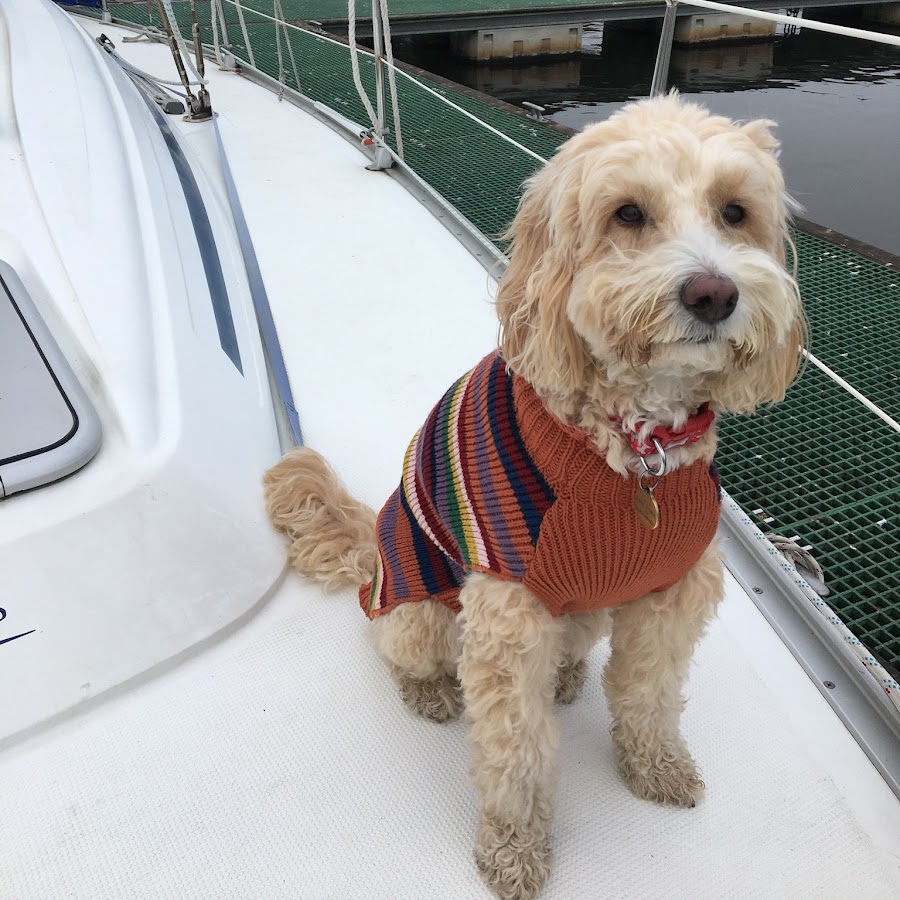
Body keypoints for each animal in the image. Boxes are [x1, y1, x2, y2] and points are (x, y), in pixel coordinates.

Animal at [263, 93, 806, 900]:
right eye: (628, 213)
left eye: (734, 211)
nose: (714, 294)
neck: (636, 453)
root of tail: (373, 564)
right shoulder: (509, 616)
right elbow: (515, 752)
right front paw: (514, 849)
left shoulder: (673, 592)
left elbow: (649, 696)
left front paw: (657, 768)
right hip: (419, 612)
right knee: (393, 647)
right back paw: (428, 691)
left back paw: (571, 674)